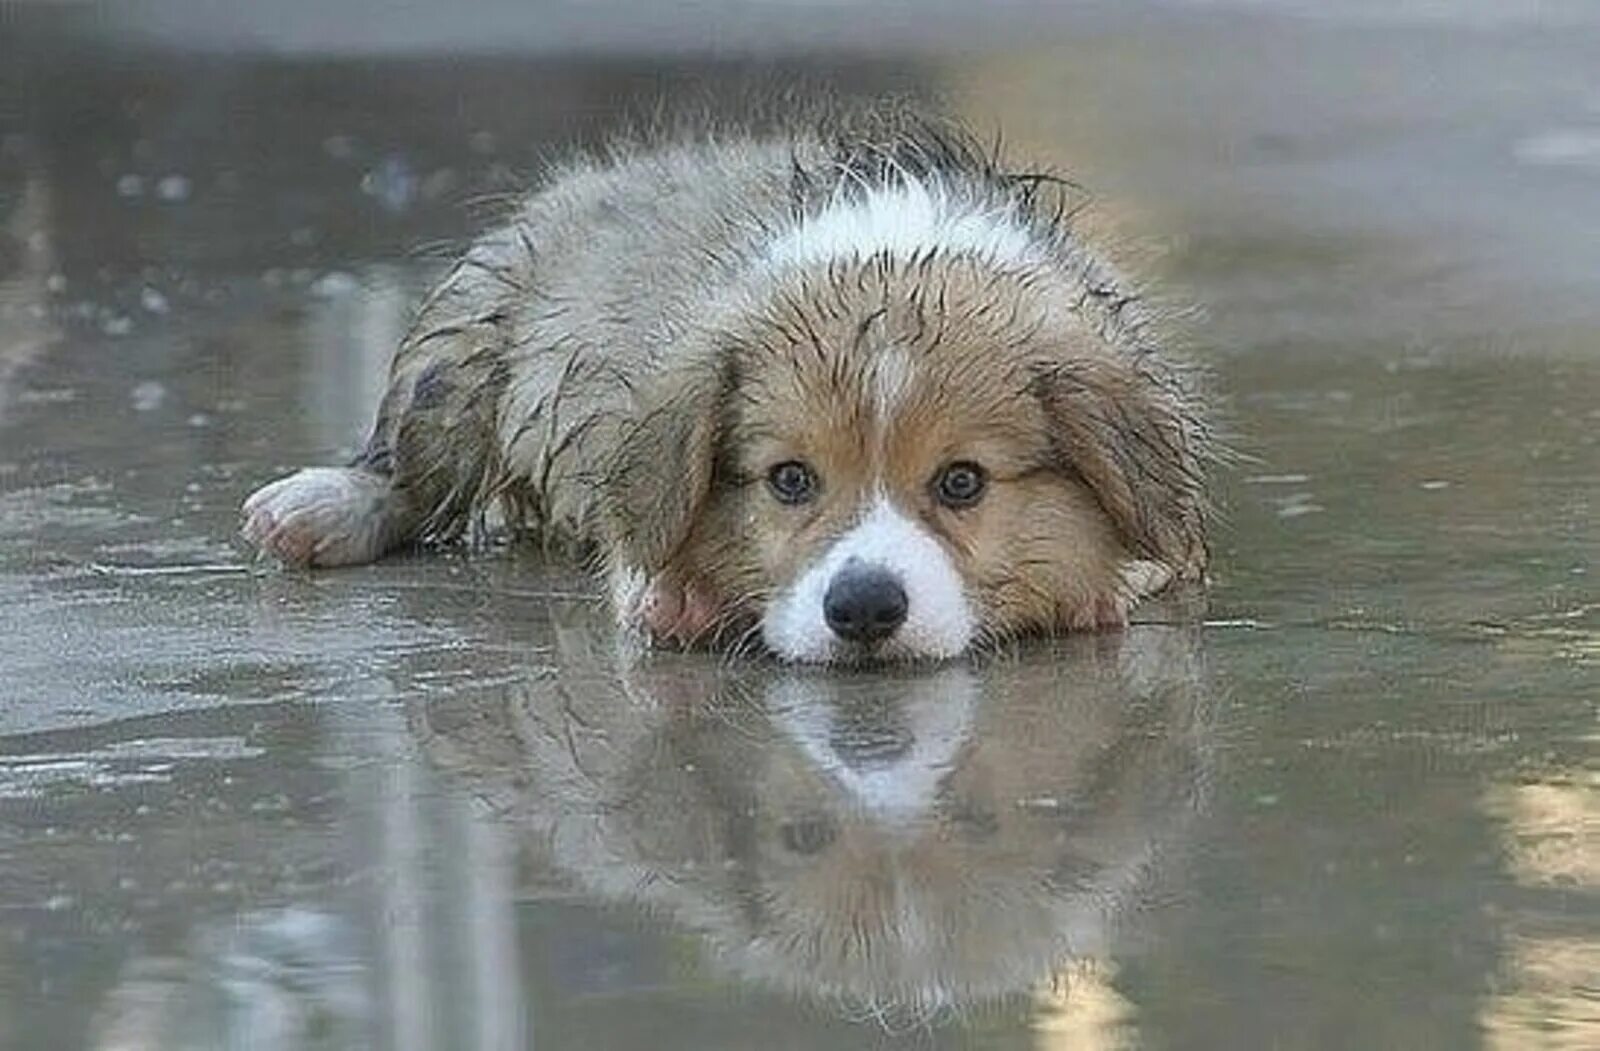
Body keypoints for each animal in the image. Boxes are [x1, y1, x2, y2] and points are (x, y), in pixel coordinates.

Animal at [240, 108, 1209, 665]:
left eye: (962, 482)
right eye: (791, 480)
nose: (863, 607)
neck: (889, 247)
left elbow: (1155, 551)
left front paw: (1096, 582)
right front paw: (676, 592)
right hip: (468, 329)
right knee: (410, 457)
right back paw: (320, 507)